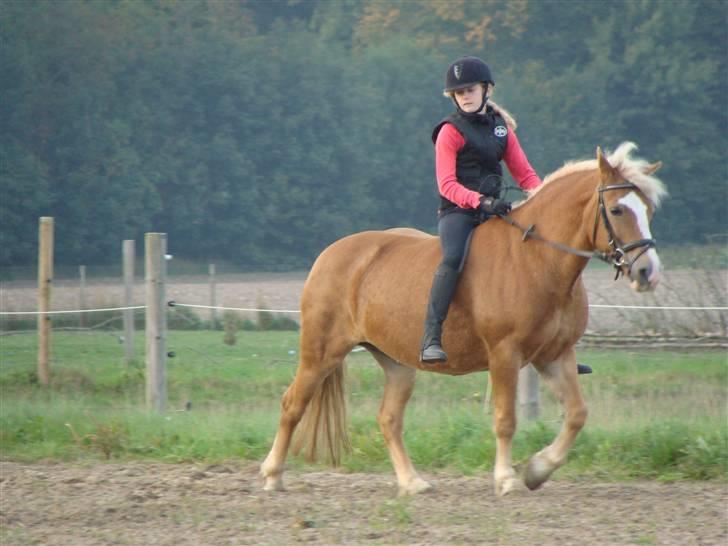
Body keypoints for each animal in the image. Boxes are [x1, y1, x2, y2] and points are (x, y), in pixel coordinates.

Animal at [260, 142, 664, 496]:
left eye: (648, 210)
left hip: (397, 363)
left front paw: (536, 471)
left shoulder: (555, 355)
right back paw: (273, 476)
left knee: (389, 419)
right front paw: (506, 479)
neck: (537, 260)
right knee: (292, 405)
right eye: (617, 210)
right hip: (321, 353)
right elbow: (505, 419)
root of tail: (330, 253)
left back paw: (412, 483)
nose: (647, 272)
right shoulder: (505, 355)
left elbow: (577, 414)